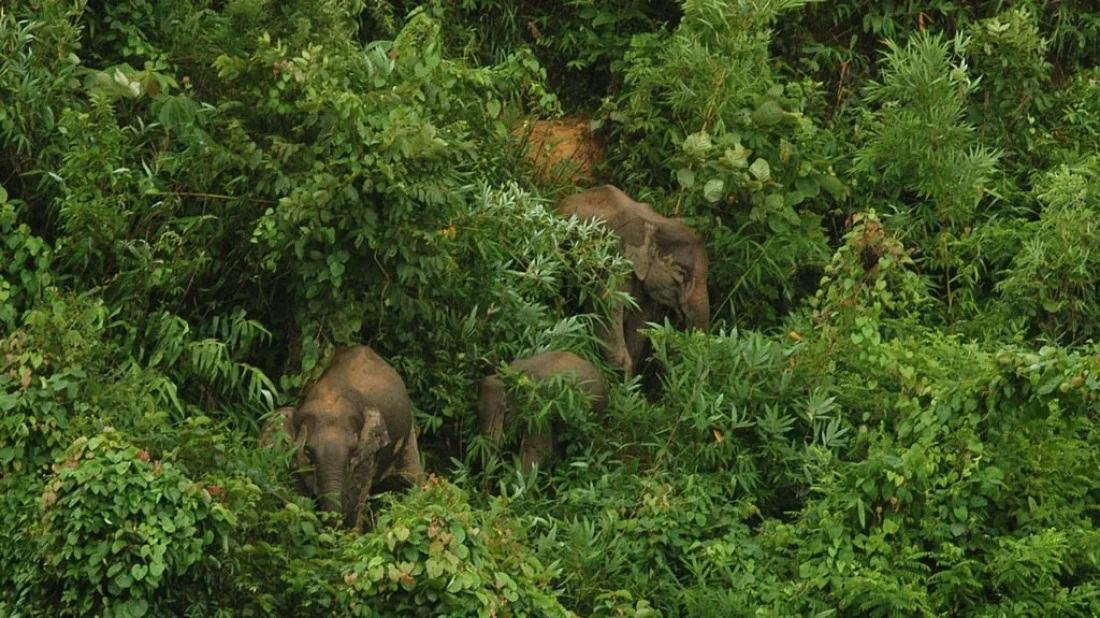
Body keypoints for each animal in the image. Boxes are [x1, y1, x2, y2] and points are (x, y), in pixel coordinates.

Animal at [269, 345, 423, 528]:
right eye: (307, 452)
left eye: (353, 451)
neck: (330, 398)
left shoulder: (368, 455)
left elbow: (358, 491)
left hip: (409, 434)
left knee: (413, 477)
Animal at [555, 185, 710, 379]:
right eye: (681, 274)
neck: (656, 223)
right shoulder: (610, 264)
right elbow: (605, 319)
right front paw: (624, 379)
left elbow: (639, 324)